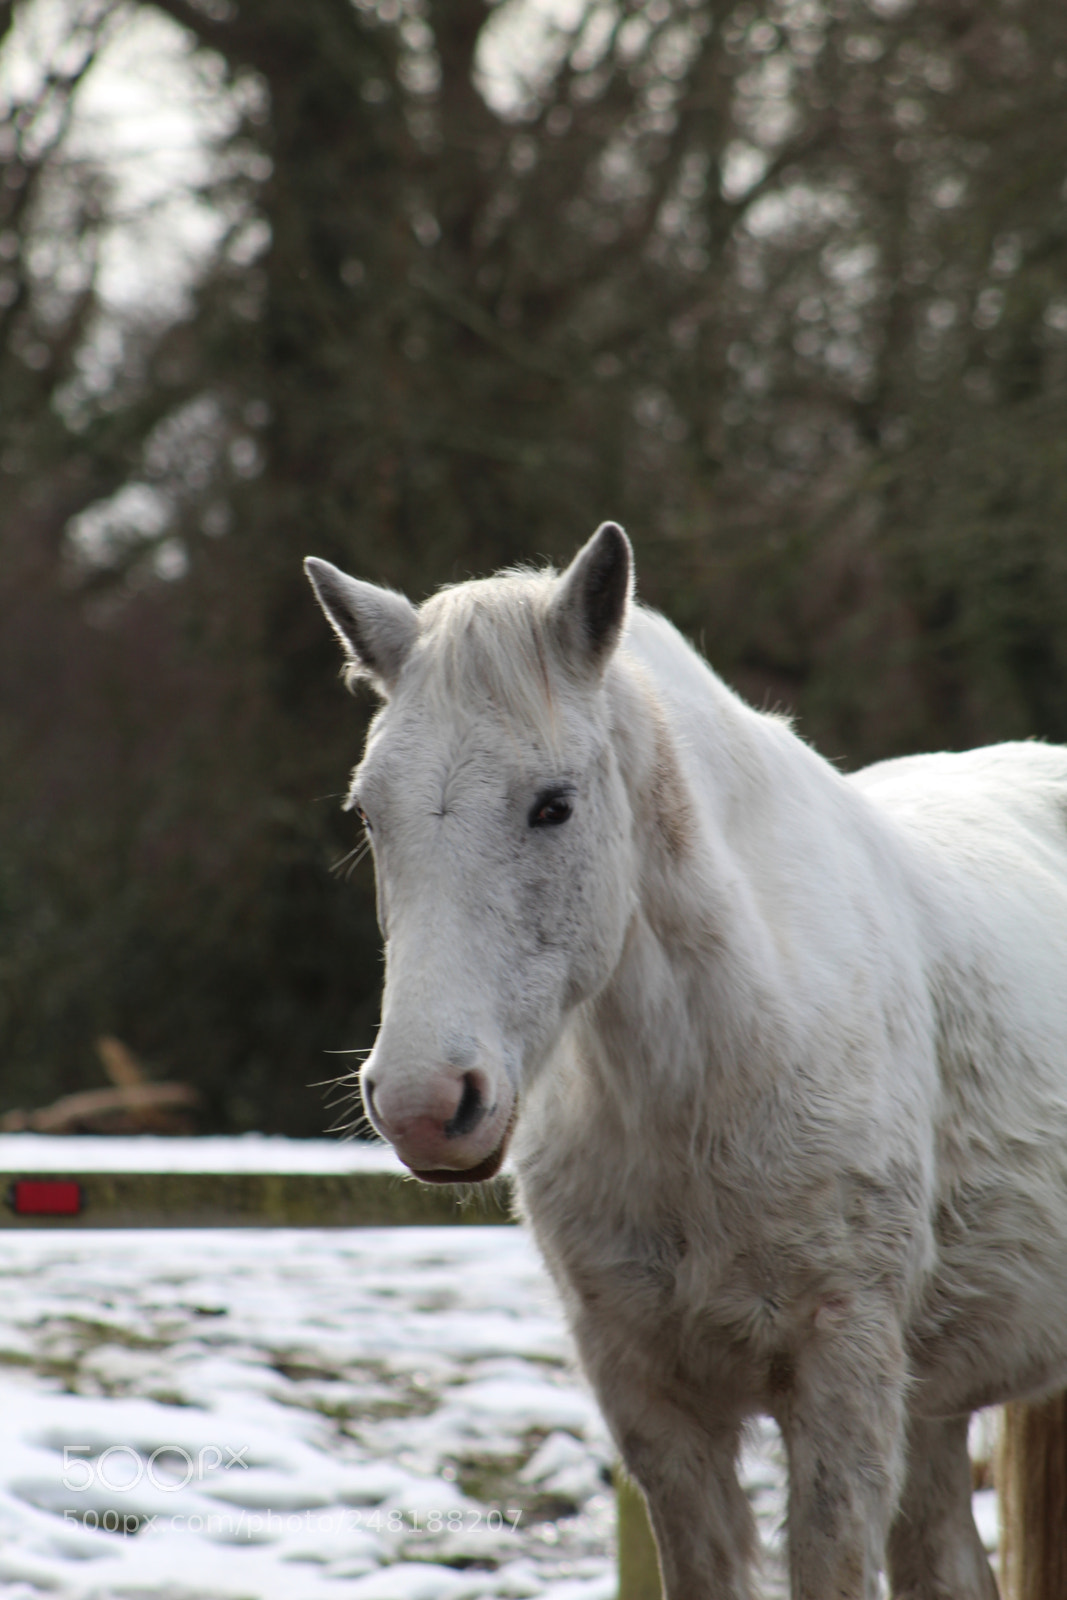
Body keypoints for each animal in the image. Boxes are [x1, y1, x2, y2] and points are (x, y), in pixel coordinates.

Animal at [305, 522, 1067, 1599]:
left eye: (552, 806)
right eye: (370, 814)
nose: (423, 1103)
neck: (708, 1083)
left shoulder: (840, 1383)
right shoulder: (651, 1401)